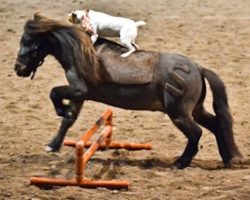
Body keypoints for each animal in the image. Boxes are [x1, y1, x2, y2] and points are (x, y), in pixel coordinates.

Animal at [14, 12, 242, 169]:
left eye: (29, 43)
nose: (18, 68)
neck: (81, 51)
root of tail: (197, 67)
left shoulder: (77, 90)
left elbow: (54, 93)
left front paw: (59, 111)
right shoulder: (81, 95)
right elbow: (68, 119)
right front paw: (53, 145)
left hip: (179, 114)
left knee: (196, 132)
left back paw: (180, 162)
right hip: (196, 110)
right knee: (217, 124)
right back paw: (227, 158)